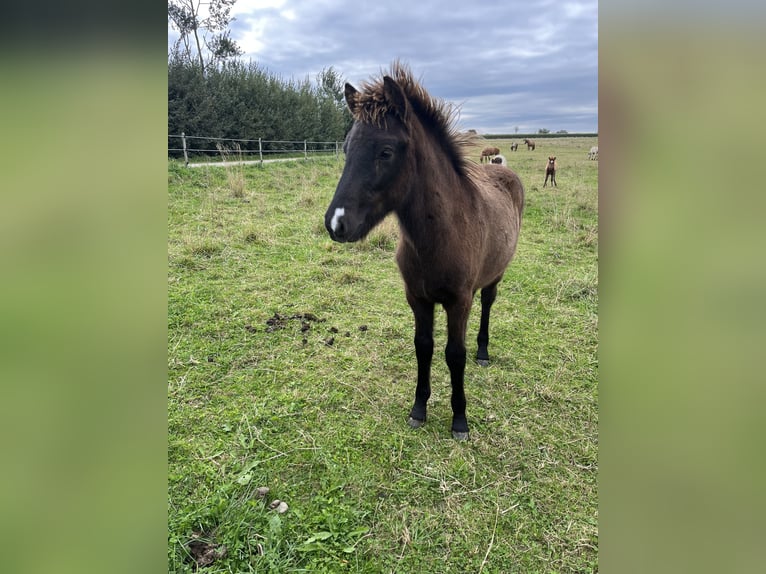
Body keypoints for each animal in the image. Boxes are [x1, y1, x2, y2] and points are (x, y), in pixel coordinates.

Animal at [324, 62, 524, 440]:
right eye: (346, 148)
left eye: (386, 152)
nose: (336, 223)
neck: (439, 237)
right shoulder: (417, 298)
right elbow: (423, 347)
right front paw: (418, 409)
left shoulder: (459, 301)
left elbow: (454, 354)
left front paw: (459, 420)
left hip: (495, 275)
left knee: (488, 304)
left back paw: (483, 351)